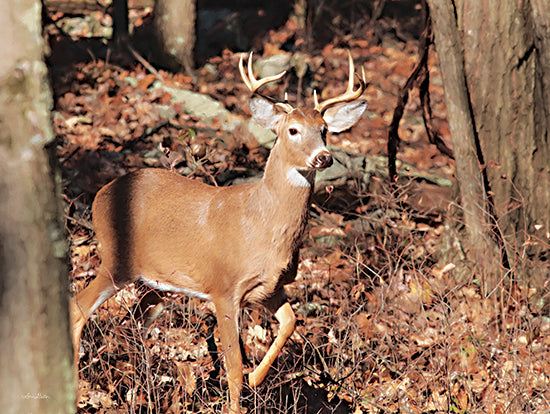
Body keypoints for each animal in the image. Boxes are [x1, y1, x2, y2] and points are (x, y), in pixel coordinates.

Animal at [72, 50, 366, 412]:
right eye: (293, 130)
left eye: (324, 130)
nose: (323, 157)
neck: (263, 226)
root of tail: (99, 196)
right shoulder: (224, 287)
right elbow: (234, 363)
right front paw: (237, 399)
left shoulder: (270, 288)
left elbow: (290, 323)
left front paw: (257, 378)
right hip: (117, 260)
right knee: (78, 307)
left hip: (156, 283)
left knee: (136, 321)